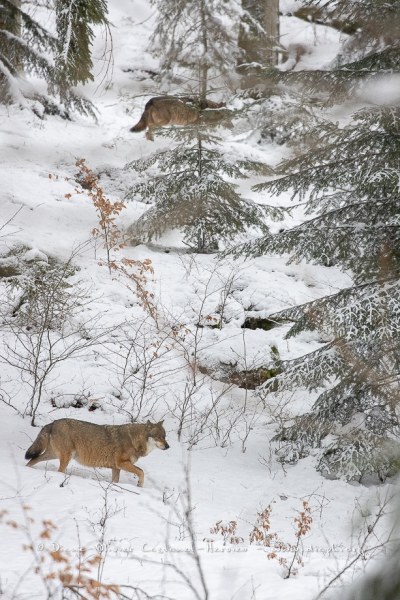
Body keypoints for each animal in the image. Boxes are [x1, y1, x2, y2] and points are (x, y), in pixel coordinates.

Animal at [25, 418, 169, 488]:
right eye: (158, 437)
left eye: (165, 436)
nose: (168, 446)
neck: (134, 440)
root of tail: (53, 422)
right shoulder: (122, 463)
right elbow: (141, 472)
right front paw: (140, 485)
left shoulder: (116, 468)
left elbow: (116, 482)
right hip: (65, 458)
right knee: (58, 471)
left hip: (51, 455)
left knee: (31, 461)